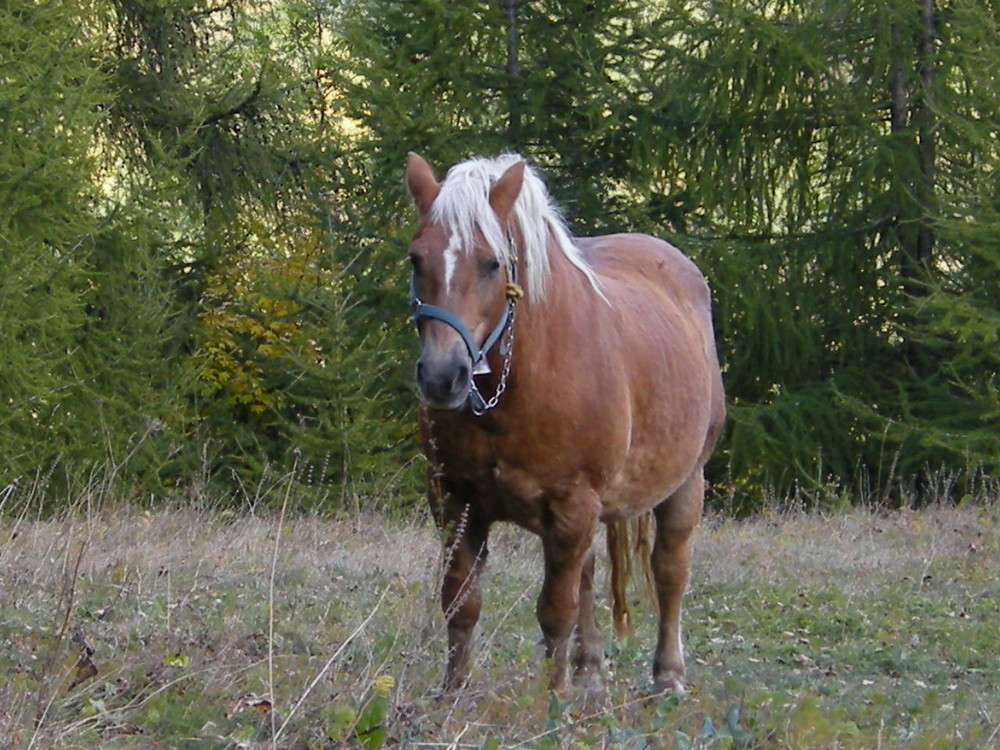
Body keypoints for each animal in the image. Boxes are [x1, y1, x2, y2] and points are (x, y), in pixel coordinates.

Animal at [406, 153, 728, 700]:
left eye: (492, 263)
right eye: (415, 259)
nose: (442, 376)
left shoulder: (573, 505)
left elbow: (556, 611)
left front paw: (551, 700)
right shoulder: (454, 500)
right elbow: (462, 601)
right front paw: (454, 692)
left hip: (686, 482)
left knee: (669, 571)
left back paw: (667, 676)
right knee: (589, 575)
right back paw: (590, 671)